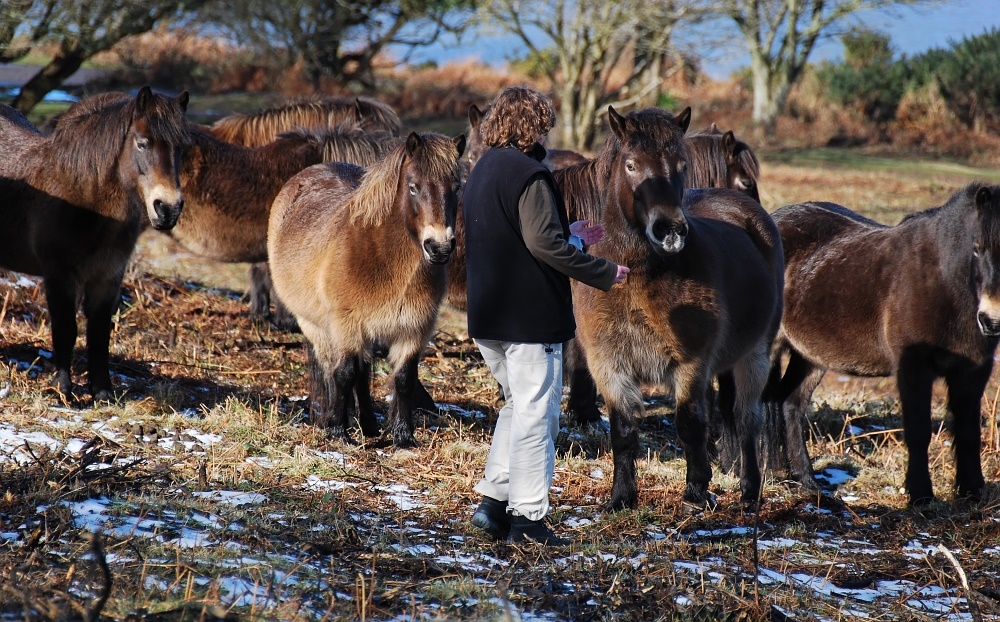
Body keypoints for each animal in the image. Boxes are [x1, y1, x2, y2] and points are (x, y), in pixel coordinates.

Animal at [0, 86, 189, 400]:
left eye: (182, 148)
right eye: (142, 143)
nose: (168, 209)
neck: (84, 197)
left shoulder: (108, 277)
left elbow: (99, 333)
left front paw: (102, 392)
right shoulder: (60, 275)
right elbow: (66, 329)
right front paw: (63, 390)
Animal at [268, 132, 466, 448]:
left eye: (456, 187)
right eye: (413, 187)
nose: (440, 248)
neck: (384, 260)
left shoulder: (414, 328)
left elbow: (404, 378)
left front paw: (403, 436)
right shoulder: (346, 324)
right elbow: (344, 373)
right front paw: (338, 431)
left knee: (361, 373)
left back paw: (369, 425)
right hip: (315, 326)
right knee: (332, 370)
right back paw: (333, 420)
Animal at [564, 107, 780, 510]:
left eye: (681, 165)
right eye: (631, 164)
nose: (670, 231)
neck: (637, 279)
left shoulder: (690, 364)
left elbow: (689, 423)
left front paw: (695, 492)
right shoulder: (608, 365)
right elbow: (623, 431)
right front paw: (621, 497)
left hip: (755, 355)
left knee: (747, 420)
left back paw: (750, 491)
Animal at [756, 186, 1000, 508]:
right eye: (976, 248)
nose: (992, 320)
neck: (943, 282)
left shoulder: (973, 372)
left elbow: (969, 432)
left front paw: (972, 492)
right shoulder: (913, 369)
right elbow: (919, 430)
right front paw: (920, 495)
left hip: (810, 357)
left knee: (789, 403)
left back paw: (805, 480)